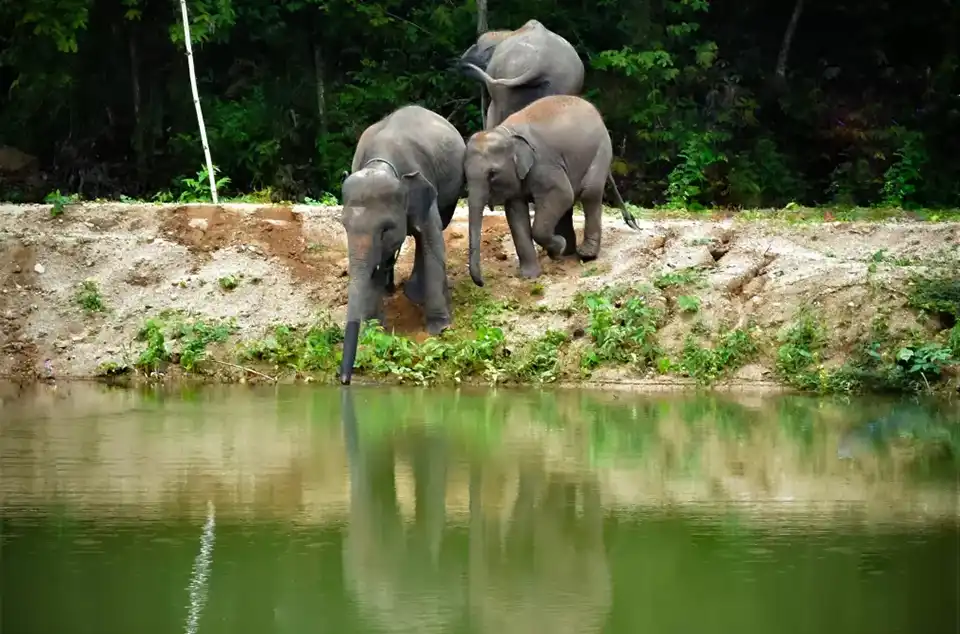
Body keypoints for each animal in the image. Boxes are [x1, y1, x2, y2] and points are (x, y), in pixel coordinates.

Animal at [338, 105, 466, 385]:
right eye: (344, 227)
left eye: (385, 229)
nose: (344, 380)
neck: (382, 163)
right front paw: (374, 328)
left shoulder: (425, 183)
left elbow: (432, 238)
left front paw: (439, 329)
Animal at [456, 19, 585, 129]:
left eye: (478, 45)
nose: (461, 62)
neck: (507, 34)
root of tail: (541, 60)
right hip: (563, 84)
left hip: (505, 80)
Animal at [464, 94, 641, 286]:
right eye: (464, 174)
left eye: (492, 174)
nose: (482, 283)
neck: (506, 133)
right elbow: (516, 214)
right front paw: (530, 276)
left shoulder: (544, 165)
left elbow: (562, 195)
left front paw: (558, 247)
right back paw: (567, 252)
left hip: (601, 151)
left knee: (589, 193)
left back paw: (585, 255)